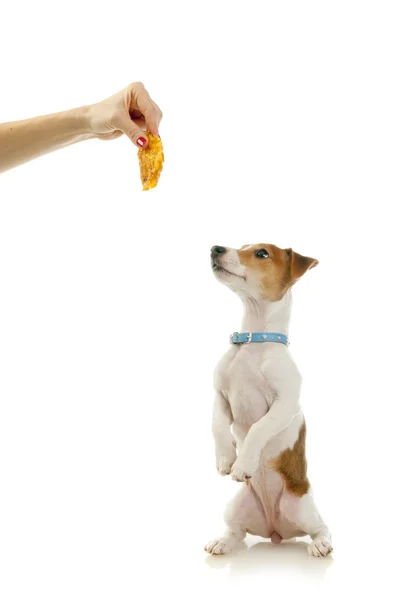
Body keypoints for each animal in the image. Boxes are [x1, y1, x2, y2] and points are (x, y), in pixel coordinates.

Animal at [205, 243, 332, 556]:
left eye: (262, 253)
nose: (216, 248)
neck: (254, 339)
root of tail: (276, 531)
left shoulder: (285, 404)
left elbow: (258, 428)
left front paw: (243, 464)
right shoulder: (220, 396)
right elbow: (218, 426)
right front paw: (226, 459)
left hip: (302, 508)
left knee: (320, 528)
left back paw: (321, 545)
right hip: (236, 507)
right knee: (236, 533)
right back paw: (221, 542)